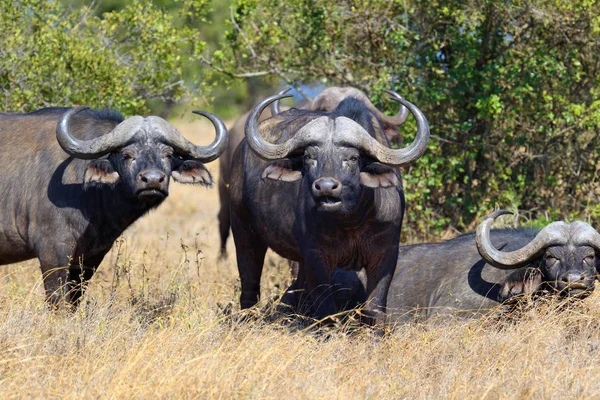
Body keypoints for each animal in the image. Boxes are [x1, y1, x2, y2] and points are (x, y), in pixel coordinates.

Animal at [0, 106, 227, 306]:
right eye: (127, 155)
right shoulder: (52, 253)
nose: (153, 180)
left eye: (168, 155)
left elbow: (75, 300)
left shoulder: (89, 258)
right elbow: (58, 301)